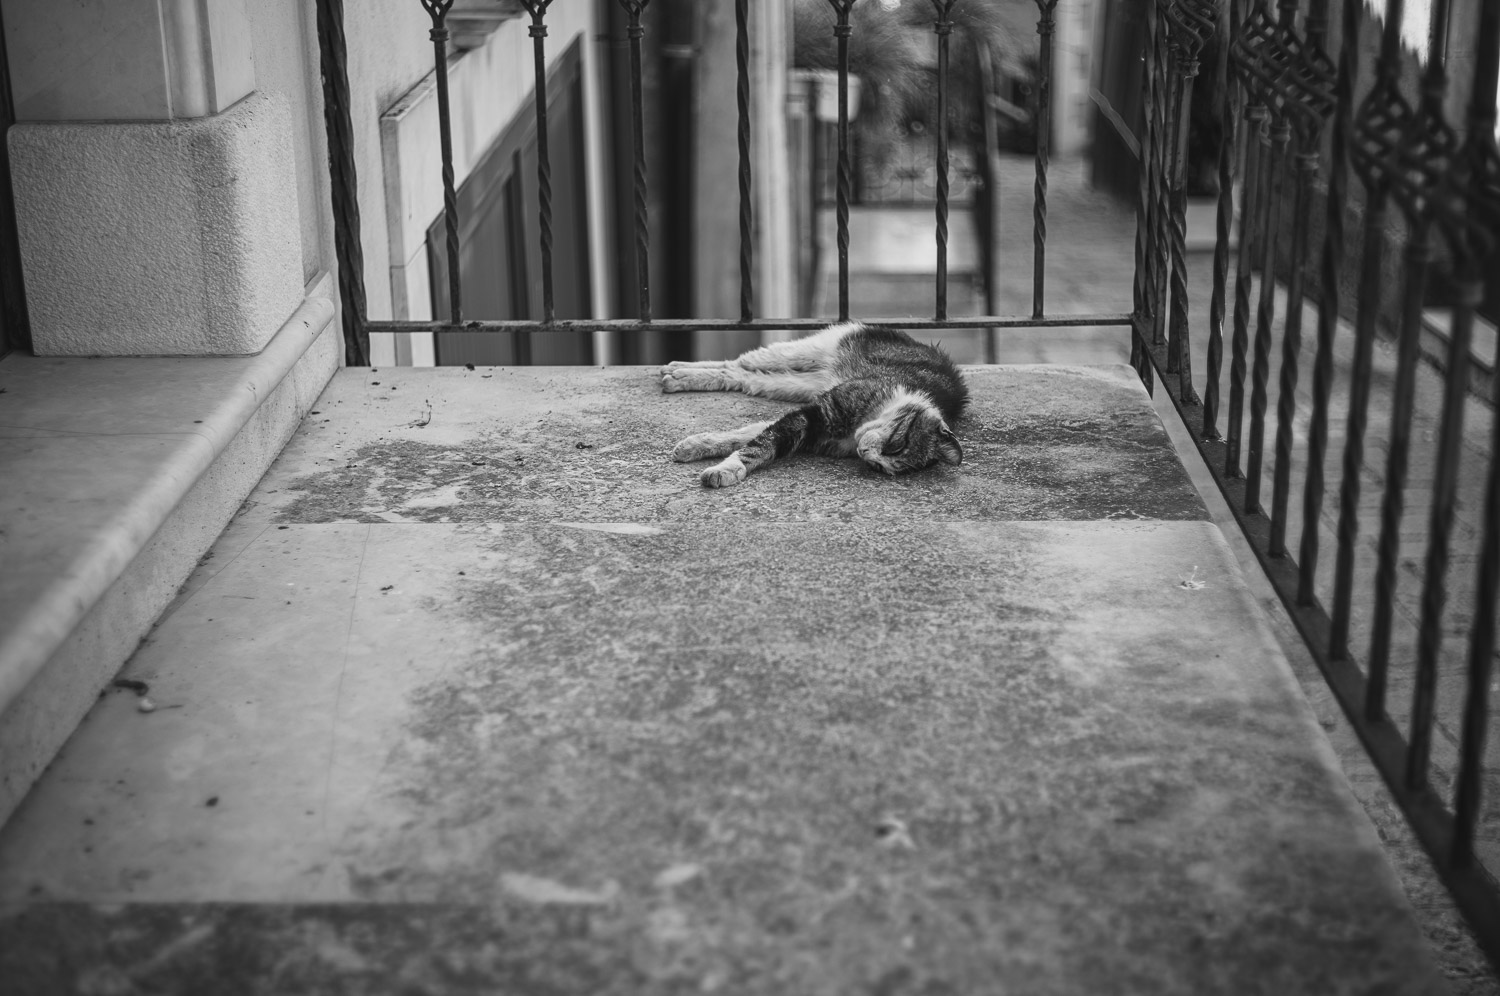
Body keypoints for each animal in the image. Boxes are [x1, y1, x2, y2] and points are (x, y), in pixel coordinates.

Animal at [661, 321, 969, 488]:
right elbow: (760, 445)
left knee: (742, 376)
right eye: (897, 444)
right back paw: (677, 372)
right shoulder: (816, 414)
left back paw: (679, 375)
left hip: (796, 384)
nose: (865, 453)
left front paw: (696, 445)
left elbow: (752, 434)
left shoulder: (812, 423)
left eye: (879, 468)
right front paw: (725, 470)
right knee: (741, 361)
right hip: (807, 350)